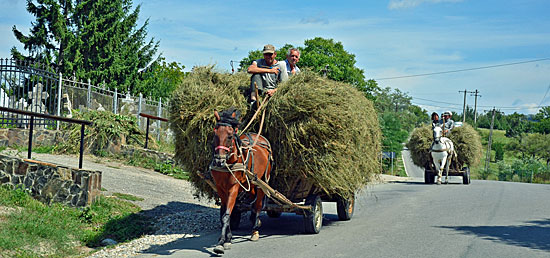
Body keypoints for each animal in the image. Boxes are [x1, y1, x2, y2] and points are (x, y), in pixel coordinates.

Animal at [211, 108, 274, 255]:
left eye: (230, 136)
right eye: (215, 134)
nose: (218, 161)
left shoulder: (233, 188)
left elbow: (227, 214)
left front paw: (221, 244)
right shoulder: (221, 189)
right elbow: (225, 213)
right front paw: (227, 238)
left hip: (262, 183)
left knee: (257, 205)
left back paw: (255, 230)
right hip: (250, 183)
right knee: (252, 197)